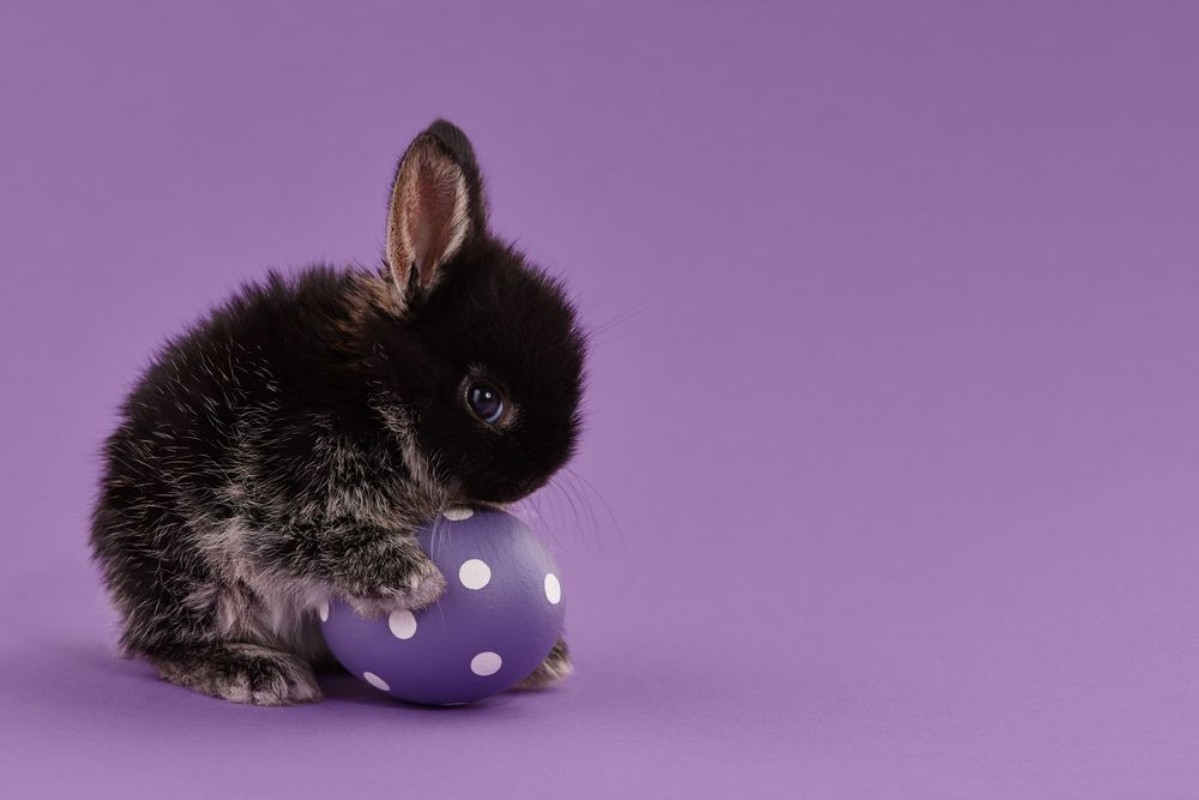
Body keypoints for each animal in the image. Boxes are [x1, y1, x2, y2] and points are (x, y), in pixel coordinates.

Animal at [89, 120, 586, 705]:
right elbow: (299, 536)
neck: (374, 397)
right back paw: (251, 669)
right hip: (187, 567)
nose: (532, 479)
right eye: (485, 400)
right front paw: (409, 578)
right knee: (167, 643)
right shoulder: (275, 481)